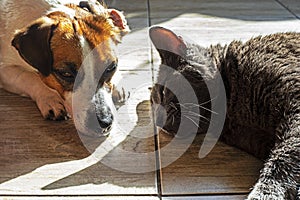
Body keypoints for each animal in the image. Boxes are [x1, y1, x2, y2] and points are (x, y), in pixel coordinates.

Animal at [1, 0, 130, 136]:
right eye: (66, 74)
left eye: (111, 68)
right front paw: (50, 97)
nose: (104, 123)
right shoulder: (4, 70)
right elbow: (28, 77)